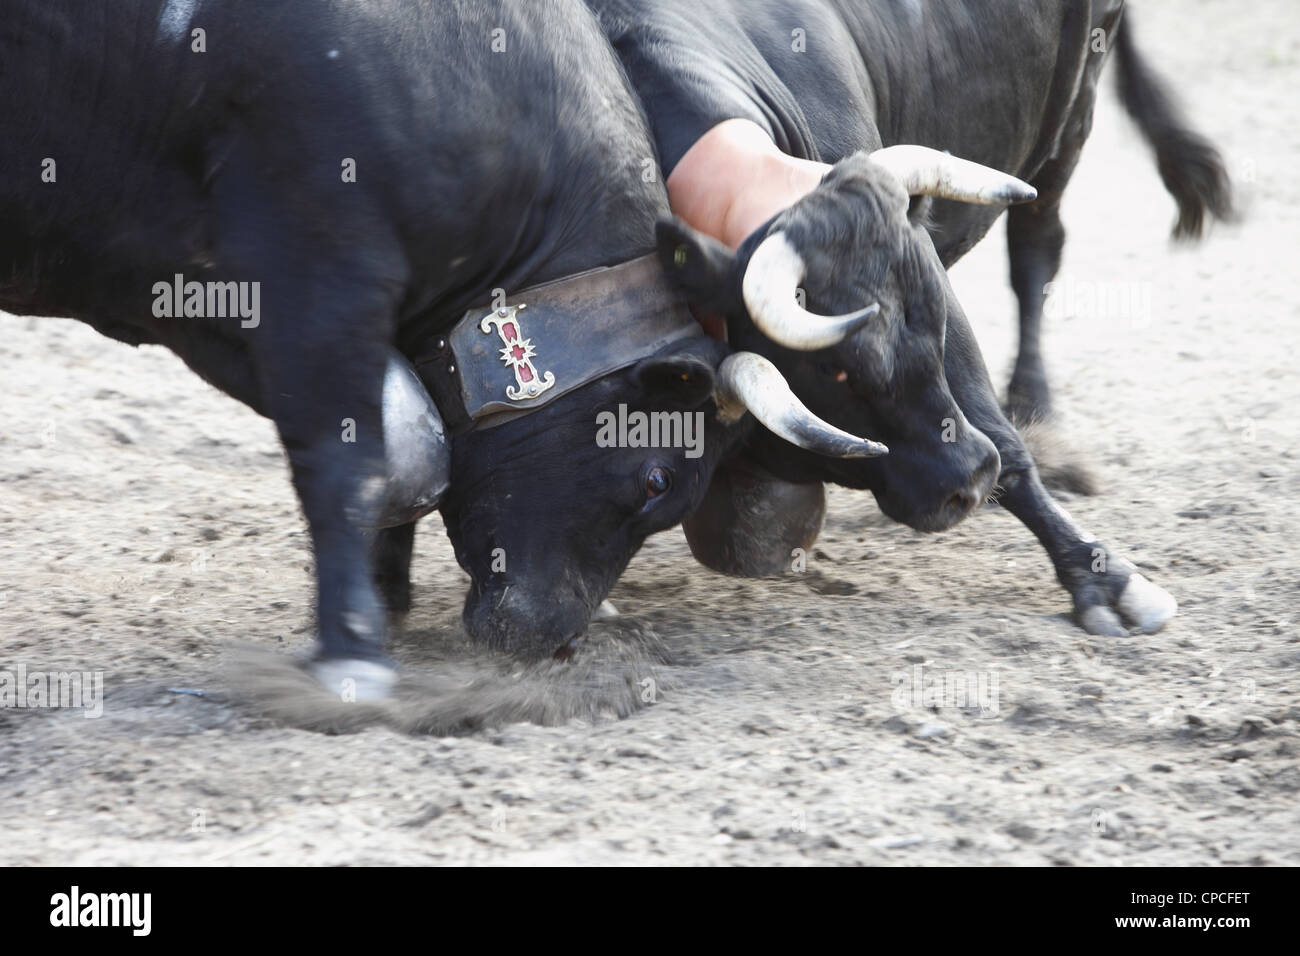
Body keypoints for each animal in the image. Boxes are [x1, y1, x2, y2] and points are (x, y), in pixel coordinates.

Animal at [5, 0, 873, 691]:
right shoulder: (319, 267)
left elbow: (417, 450)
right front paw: (350, 653)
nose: (553, 639)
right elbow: (357, 464)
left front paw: (381, 598)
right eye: (659, 477)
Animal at [590, 3, 1216, 639]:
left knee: (1036, 248)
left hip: (1074, 109)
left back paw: (1033, 401)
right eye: (836, 370)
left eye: (936, 322)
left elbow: (1000, 434)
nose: (973, 479)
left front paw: (1101, 576)